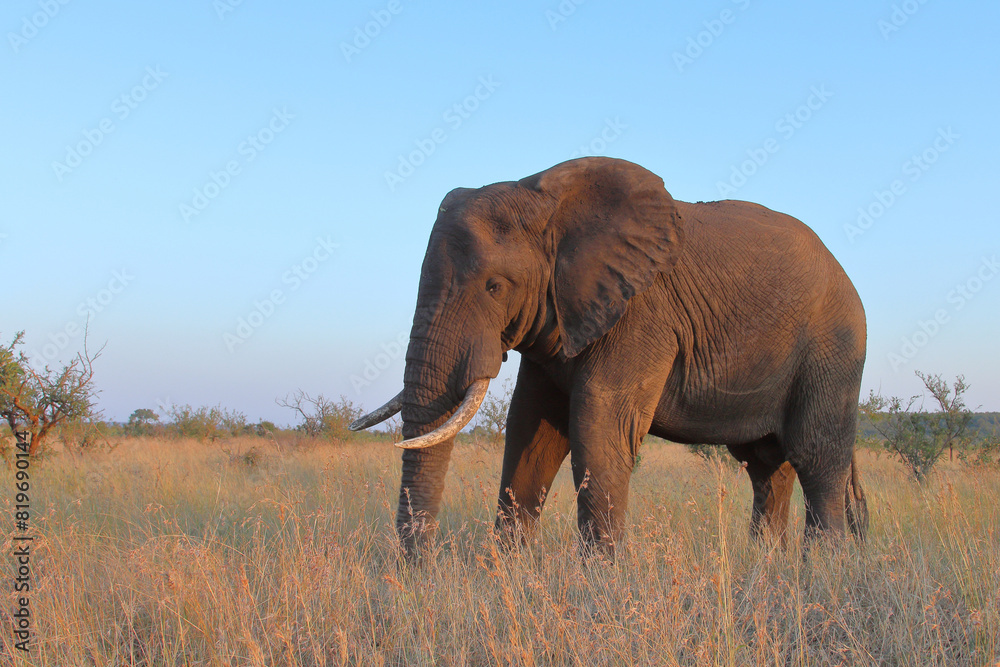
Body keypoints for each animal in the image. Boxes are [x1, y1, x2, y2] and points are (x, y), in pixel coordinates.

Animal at [351, 156, 868, 557]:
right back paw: (768, 565)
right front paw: (505, 573)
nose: (421, 570)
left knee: (816, 457)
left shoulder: (640, 313)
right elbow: (532, 429)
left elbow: (597, 422)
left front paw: (600, 584)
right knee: (765, 466)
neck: (545, 198)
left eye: (495, 287)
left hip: (834, 347)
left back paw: (822, 569)